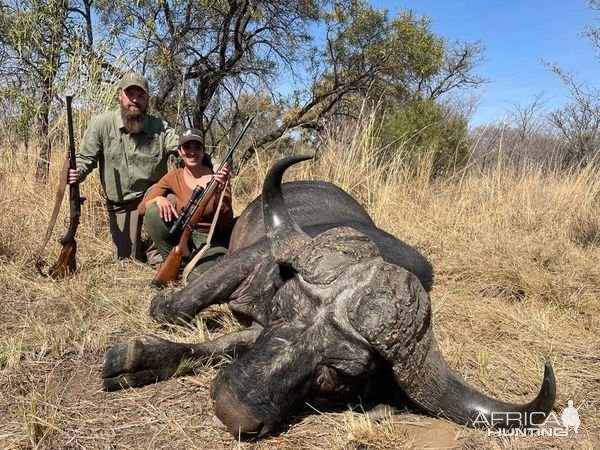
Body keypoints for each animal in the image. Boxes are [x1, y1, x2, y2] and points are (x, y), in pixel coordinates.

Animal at [103, 156, 556, 438]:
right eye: (283, 311)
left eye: (338, 373)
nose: (231, 408)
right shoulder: (247, 263)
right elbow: (176, 309)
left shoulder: (253, 334)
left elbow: (221, 346)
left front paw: (141, 362)